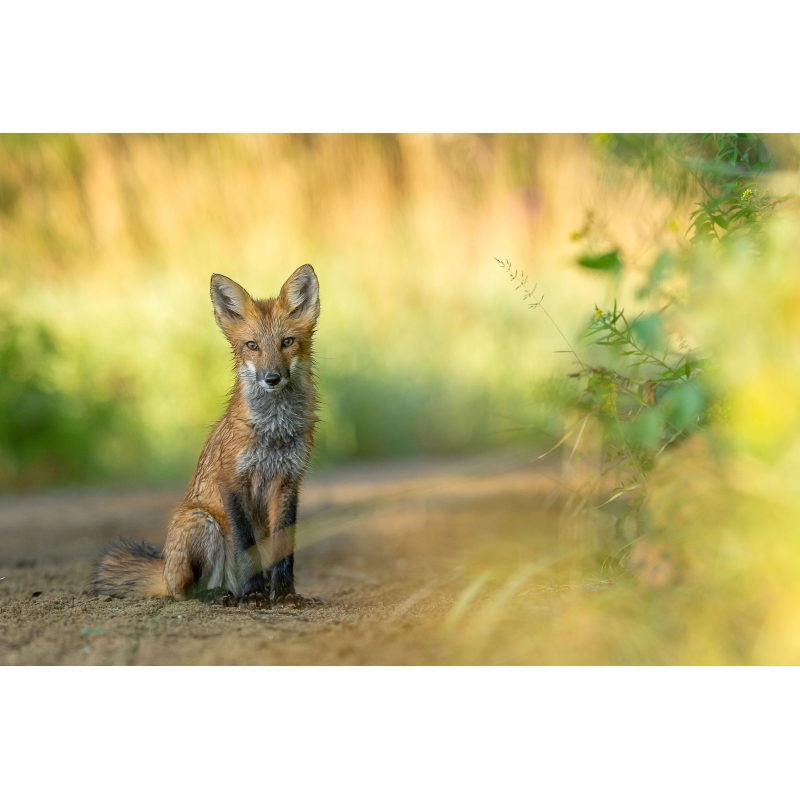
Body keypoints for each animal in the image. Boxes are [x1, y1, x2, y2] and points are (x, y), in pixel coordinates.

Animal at [92, 264, 322, 608]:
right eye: (252, 345)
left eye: (287, 341)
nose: (272, 378)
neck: (274, 432)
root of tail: (164, 570)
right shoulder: (232, 480)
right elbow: (245, 545)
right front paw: (255, 596)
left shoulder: (289, 482)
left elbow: (285, 552)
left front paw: (285, 595)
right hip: (203, 522)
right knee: (184, 592)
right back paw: (224, 595)